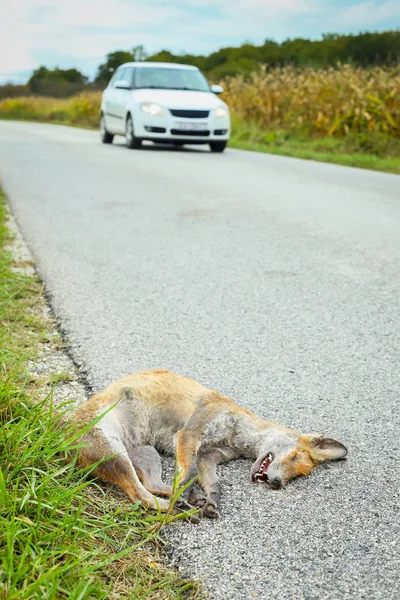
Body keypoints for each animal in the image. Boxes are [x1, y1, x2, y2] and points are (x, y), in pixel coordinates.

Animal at [72, 368, 346, 516]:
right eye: (293, 456)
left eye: (296, 475)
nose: (277, 483)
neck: (234, 435)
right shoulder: (190, 433)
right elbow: (190, 472)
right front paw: (187, 493)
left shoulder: (208, 457)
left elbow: (213, 484)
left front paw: (211, 501)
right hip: (116, 455)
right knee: (141, 495)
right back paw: (180, 508)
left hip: (147, 453)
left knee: (151, 484)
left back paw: (191, 500)